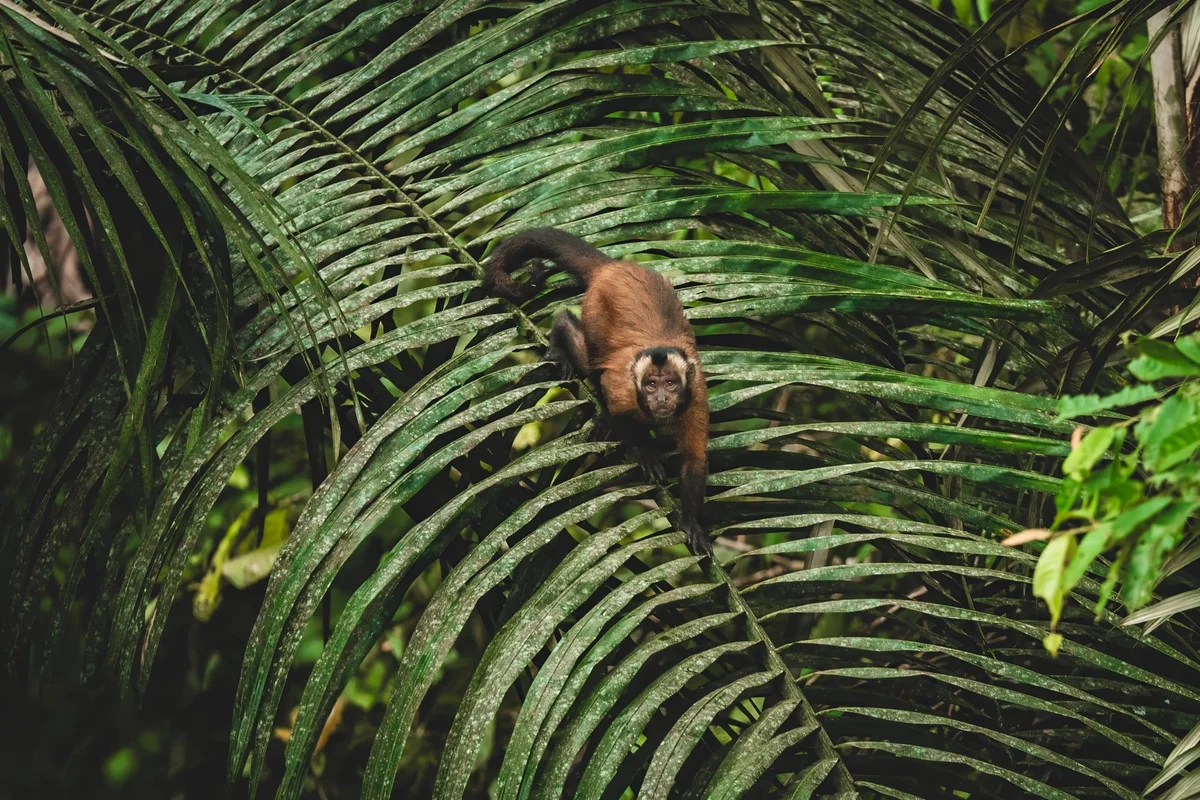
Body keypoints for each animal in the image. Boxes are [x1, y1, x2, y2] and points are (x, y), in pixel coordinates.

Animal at [482, 227, 712, 557]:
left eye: (670, 384)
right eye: (651, 385)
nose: (661, 398)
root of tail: (613, 267)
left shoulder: (695, 396)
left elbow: (694, 459)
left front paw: (692, 523)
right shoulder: (626, 389)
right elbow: (612, 397)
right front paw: (644, 450)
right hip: (596, 306)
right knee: (591, 360)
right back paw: (562, 334)